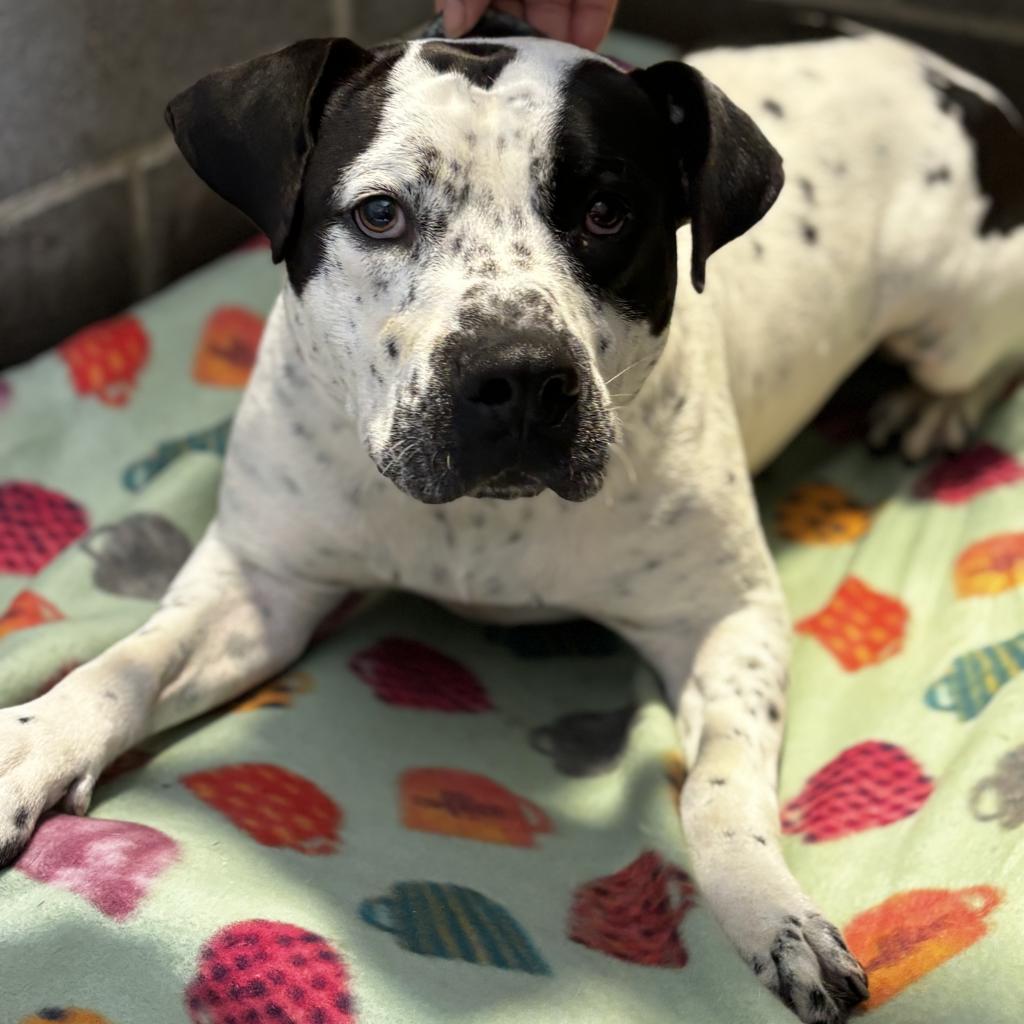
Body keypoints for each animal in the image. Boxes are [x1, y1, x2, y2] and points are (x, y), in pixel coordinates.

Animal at [2, 16, 1024, 1024]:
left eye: (607, 213)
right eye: (380, 213)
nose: (520, 374)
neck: (479, 524)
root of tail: (964, 84)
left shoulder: (730, 619)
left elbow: (721, 782)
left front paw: (770, 906)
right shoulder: (263, 584)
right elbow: (126, 666)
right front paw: (35, 746)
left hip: (951, 313)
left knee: (984, 360)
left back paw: (931, 411)